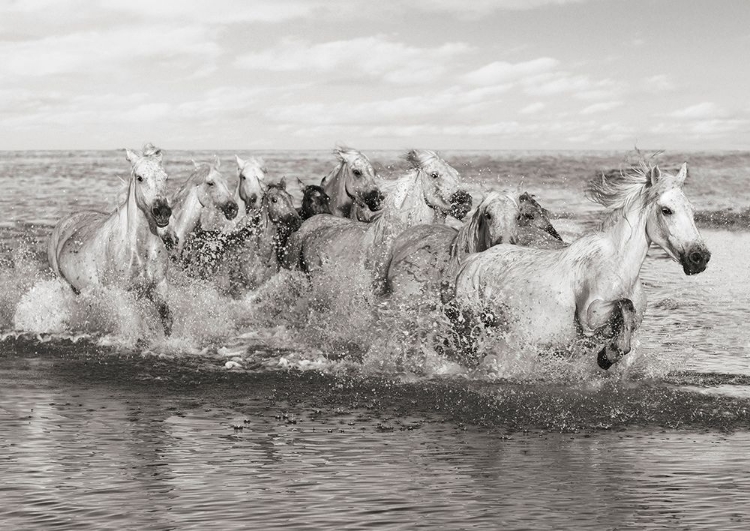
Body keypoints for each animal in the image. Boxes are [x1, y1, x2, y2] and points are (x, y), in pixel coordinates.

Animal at [47, 144, 175, 336]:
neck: (139, 250)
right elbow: (135, 325)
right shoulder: (123, 294)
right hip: (65, 285)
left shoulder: (159, 286)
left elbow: (167, 320)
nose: (162, 212)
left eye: (166, 177)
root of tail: (64, 222)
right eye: (140, 178)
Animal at [450, 162, 712, 370]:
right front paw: (608, 355)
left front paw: (608, 354)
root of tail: (472, 262)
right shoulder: (590, 316)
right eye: (666, 210)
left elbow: (628, 320)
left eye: (691, 210)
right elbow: (624, 306)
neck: (619, 268)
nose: (700, 257)